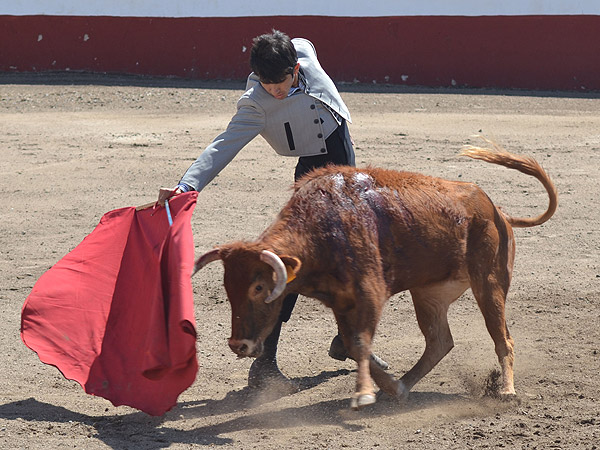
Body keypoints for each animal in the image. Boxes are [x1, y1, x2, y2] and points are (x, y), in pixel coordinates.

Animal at [195, 139, 556, 410]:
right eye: (228, 289)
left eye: (258, 287)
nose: (238, 344)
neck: (321, 227)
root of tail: (498, 211)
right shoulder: (340, 301)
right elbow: (354, 345)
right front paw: (386, 388)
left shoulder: (371, 292)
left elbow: (359, 342)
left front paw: (366, 393)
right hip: (429, 294)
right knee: (440, 341)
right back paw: (403, 387)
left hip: (489, 282)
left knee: (502, 338)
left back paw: (506, 391)